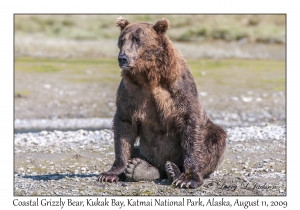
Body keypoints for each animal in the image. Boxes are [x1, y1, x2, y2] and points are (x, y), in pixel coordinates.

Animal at [98, 16, 225, 189]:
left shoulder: (178, 90)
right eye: (122, 40)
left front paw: (188, 179)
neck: (149, 76)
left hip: (209, 134)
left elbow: (190, 124)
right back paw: (139, 168)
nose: (123, 58)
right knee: (138, 152)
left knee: (216, 137)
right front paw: (110, 174)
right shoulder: (131, 92)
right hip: (146, 151)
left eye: (137, 40)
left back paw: (173, 169)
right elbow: (124, 125)